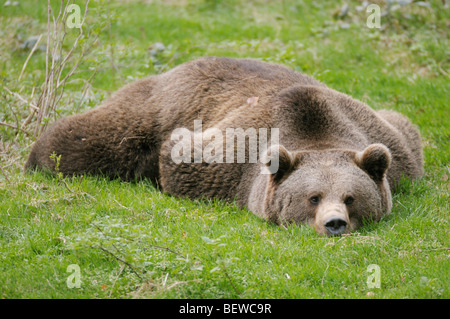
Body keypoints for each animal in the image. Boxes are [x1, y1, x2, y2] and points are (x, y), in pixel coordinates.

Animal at [25, 57, 426, 236]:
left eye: (350, 197)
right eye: (313, 197)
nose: (334, 223)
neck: (315, 130)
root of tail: (177, 67)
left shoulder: (393, 146)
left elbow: (405, 133)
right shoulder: (234, 151)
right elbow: (181, 155)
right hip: (148, 111)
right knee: (83, 141)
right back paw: (38, 155)